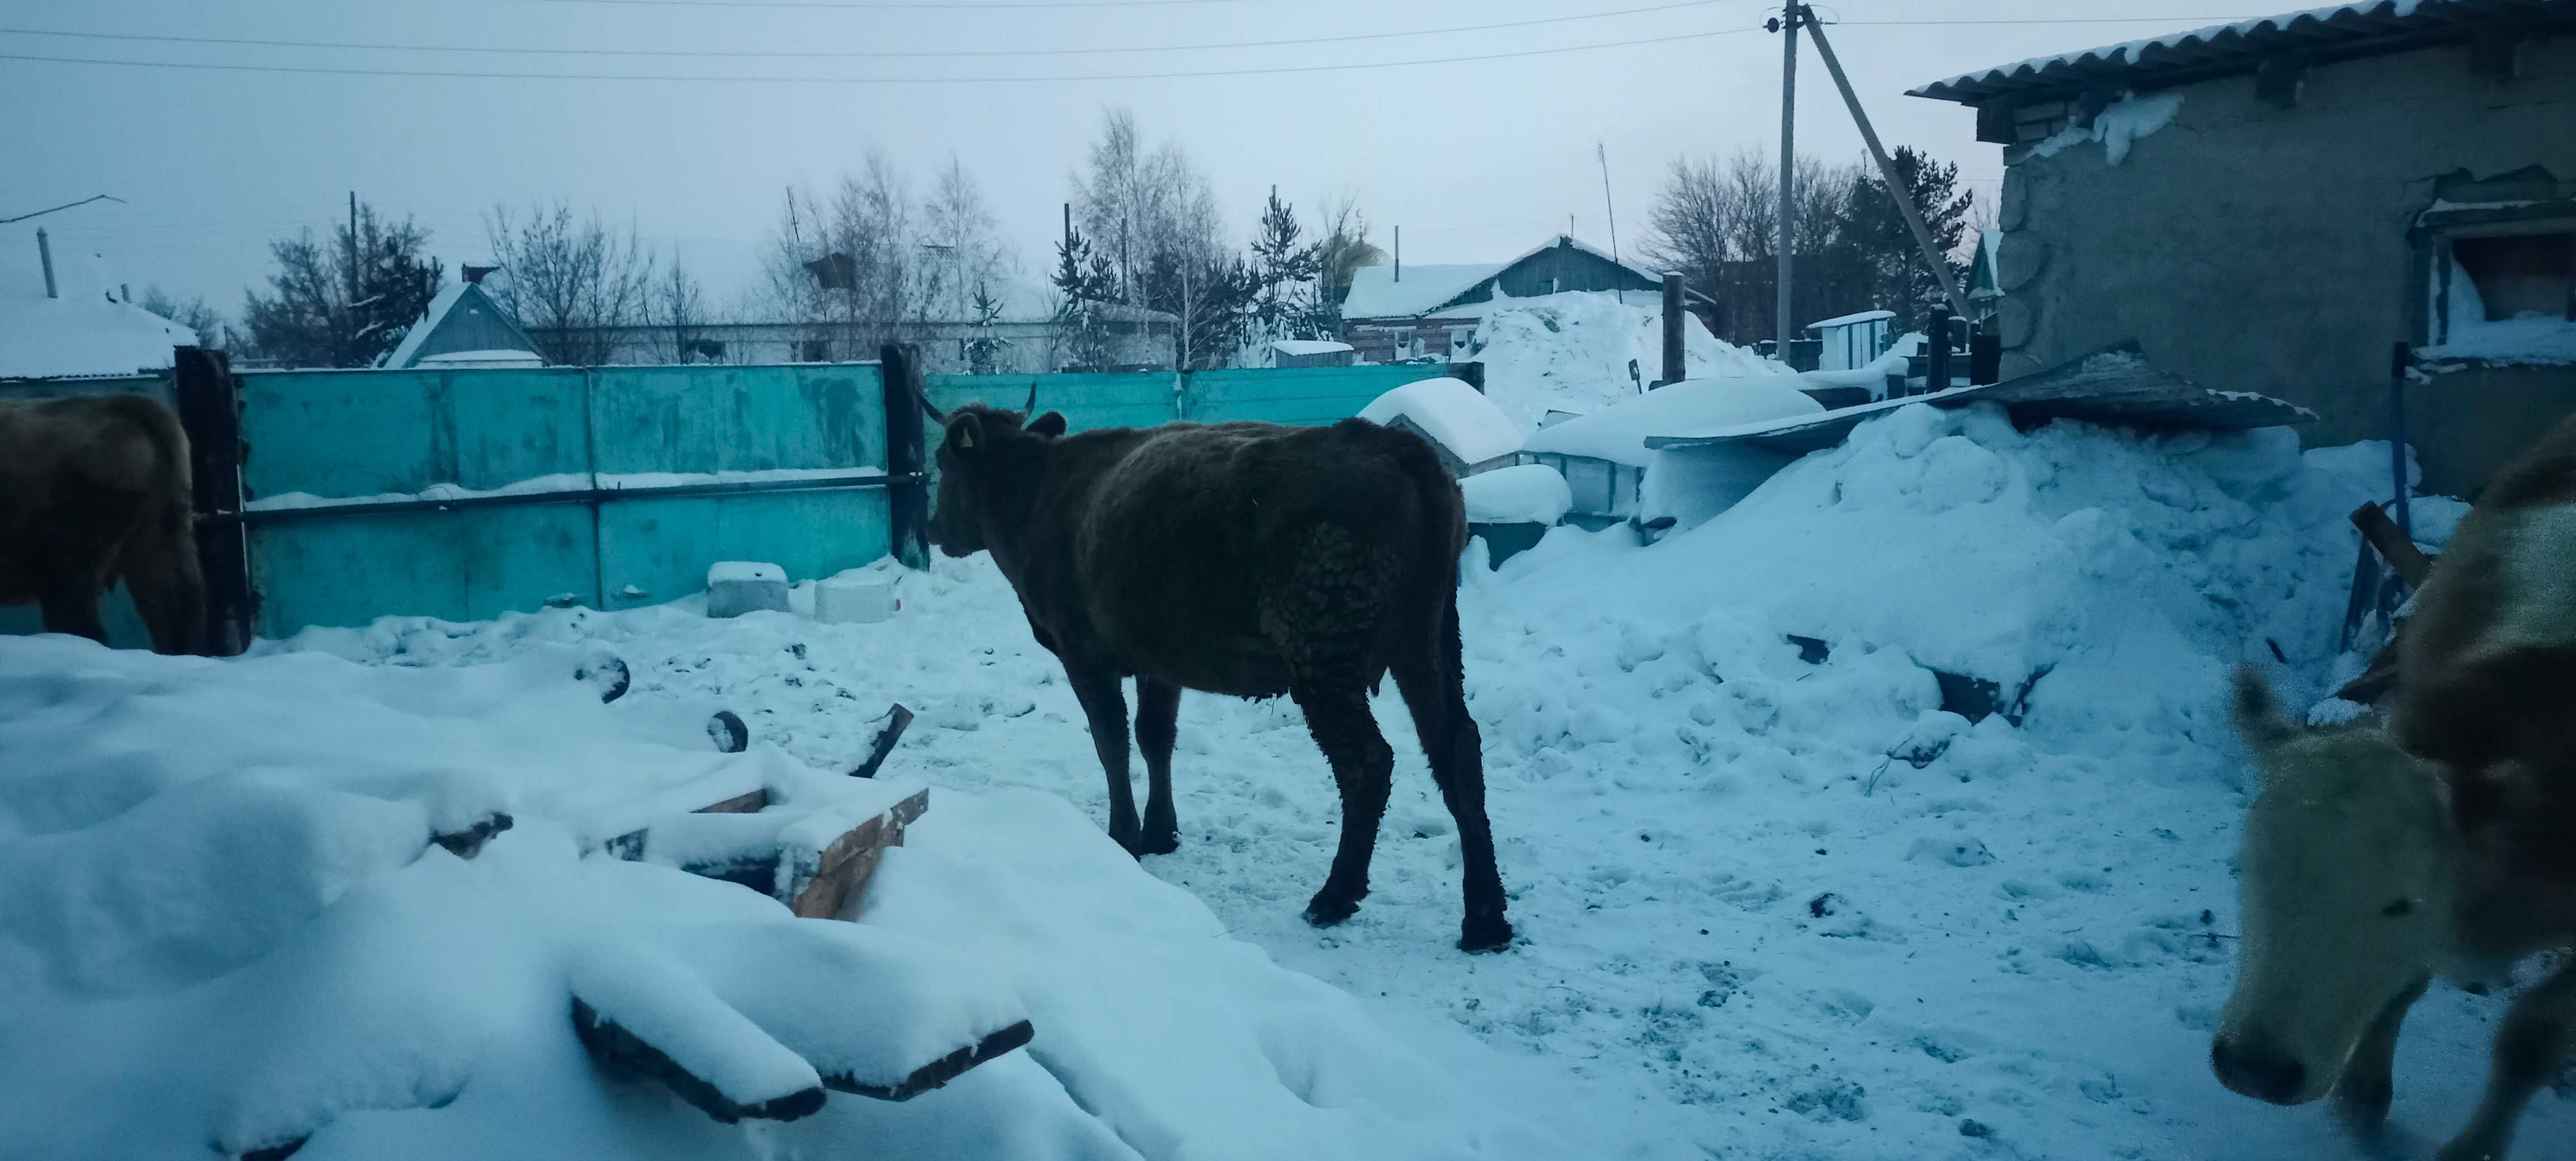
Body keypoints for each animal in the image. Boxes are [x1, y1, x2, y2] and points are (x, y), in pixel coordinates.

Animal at [917, 399, 1504, 952]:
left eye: (943, 461)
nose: (933, 529)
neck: (1039, 494)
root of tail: (1401, 450)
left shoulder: (1083, 654)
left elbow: (1111, 743)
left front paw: (1124, 837)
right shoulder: (1159, 661)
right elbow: (1155, 737)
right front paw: (1162, 832)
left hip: (1325, 655)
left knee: (1368, 763)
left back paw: (1336, 895)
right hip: (1428, 641)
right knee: (1456, 747)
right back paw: (1485, 917)